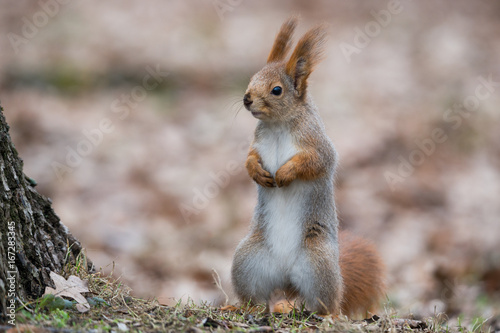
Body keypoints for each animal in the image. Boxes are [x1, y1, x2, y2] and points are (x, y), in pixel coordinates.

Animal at [230, 16, 386, 316]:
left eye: (276, 90)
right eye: (252, 78)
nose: (246, 98)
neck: (278, 125)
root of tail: (285, 278)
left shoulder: (317, 145)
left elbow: (315, 163)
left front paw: (285, 173)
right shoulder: (258, 144)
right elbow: (249, 158)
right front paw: (256, 172)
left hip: (318, 264)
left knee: (326, 302)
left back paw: (328, 315)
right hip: (247, 262)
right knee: (255, 297)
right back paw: (241, 307)